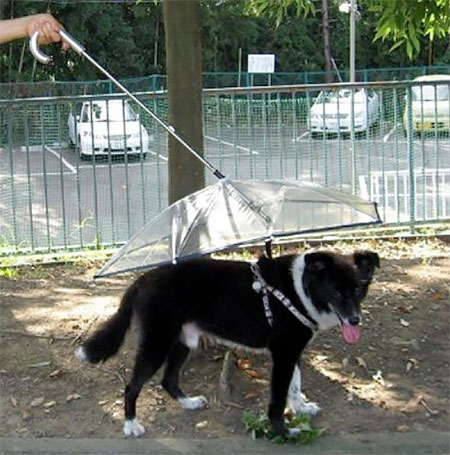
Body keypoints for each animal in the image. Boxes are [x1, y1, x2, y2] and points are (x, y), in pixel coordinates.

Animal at [76, 251, 380, 436]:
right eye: (336, 291)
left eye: (358, 288)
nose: (354, 320)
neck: (300, 288)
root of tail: (143, 278)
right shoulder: (283, 353)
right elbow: (278, 397)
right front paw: (282, 431)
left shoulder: (291, 351)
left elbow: (295, 384)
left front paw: (301, 409)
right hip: (156, 344)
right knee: (132, 386)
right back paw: (131, 425)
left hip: (184, 341)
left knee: (168, 379)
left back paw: (188, 403)